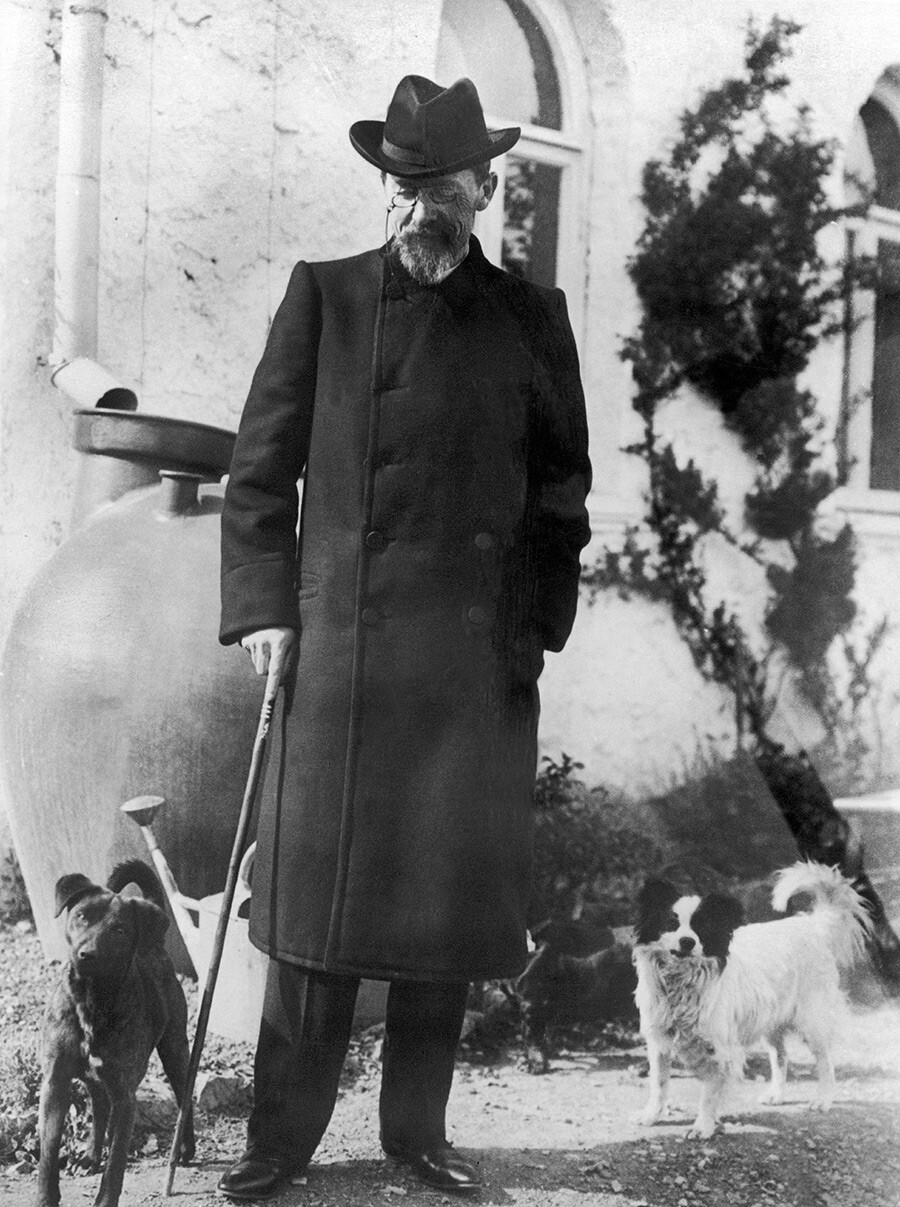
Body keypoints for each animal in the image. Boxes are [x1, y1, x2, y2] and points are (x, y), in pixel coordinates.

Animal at [35, 859, 194, 1207]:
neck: (91, 1002)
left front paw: (105, 1199)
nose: (86, 954)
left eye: (120, 930)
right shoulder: (55, 1083)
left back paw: (186, 1149)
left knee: (184, 1098)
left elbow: (116, 1164)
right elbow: (48, 1153)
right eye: (82, 916)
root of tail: (157, 945)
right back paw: (91, 1156)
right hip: (96, 1077)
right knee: (98, 1106)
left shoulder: (126, 1098)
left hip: (175, 1050)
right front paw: (46, 1197)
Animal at [632, 864, 868, 1134]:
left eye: (702, 926)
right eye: (671, 921)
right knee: (780, 1057)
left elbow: (709, 1093)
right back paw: (776, 1094)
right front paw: (652, 1115)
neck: (683, 981)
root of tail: (812, 926)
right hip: (771, 1021)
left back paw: (823, 1100)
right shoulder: (658, 1041)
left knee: (825, 1061)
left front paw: (703, 1126)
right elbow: (658, 1084)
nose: (687, 941)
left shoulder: (719, 1049)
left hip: (812, 1021)